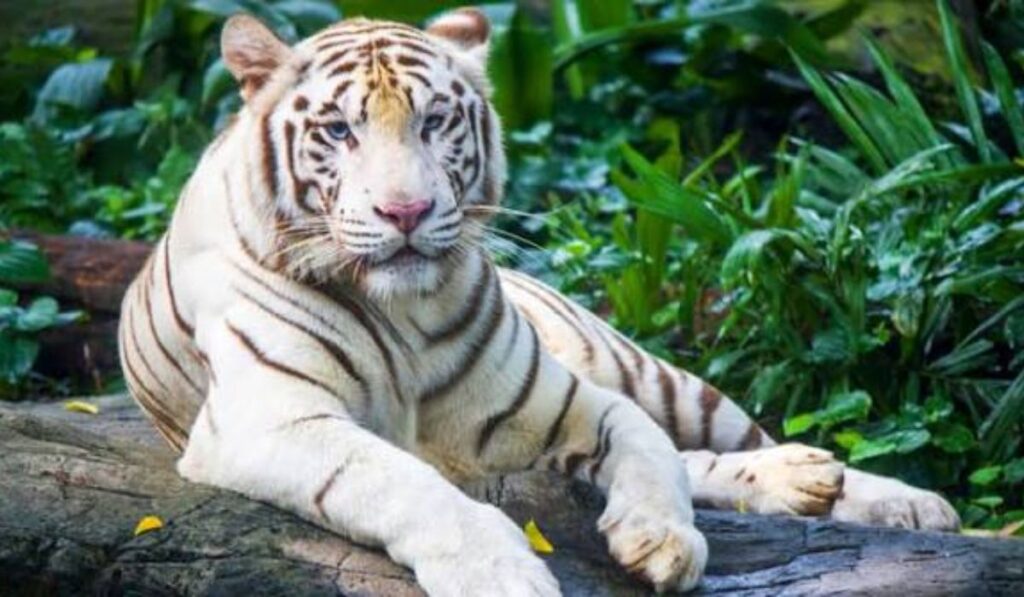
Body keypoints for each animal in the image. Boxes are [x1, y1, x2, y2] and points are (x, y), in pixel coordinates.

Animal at [117, 8, 960, 595]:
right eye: (337, 131)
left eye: (434, 121)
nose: (406, 212)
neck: (402, 313)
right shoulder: (272, 420)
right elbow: (404, 481)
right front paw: (499, 572)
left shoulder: (567, 397)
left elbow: (650, 447)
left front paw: (661, 538)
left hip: (651, 371)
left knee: (717, 436)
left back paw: (895, 498)